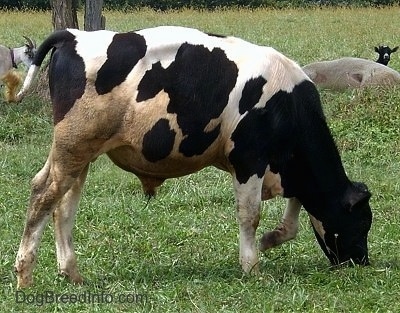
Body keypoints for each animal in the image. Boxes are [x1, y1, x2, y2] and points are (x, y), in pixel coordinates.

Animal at [14, 25, 372, 286]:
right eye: (361, 223)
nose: (361, 263)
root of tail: (74, 35)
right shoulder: (249, 159)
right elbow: (250, 215)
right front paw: (252, 266)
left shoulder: (288, 169)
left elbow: (293, 218)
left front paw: (270, 240)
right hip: (73, 146)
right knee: (43, 194)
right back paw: (25, 275)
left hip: (80, 153)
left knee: (64, 206)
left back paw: (71, 273)